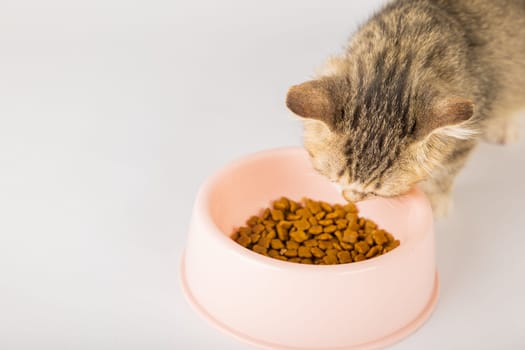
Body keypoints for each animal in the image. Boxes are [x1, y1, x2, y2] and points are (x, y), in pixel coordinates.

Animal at [284, 0, 524, 217]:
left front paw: (434, 201)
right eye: (333, 177)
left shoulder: (473, 115)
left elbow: (447, 168)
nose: (351, 199)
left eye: (376, 192)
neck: (400, 51)